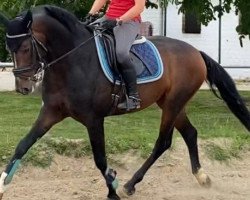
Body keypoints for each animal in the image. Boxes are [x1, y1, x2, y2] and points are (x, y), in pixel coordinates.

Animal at [0, 4, 249, 200]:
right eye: (9, 48)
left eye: (25, 47)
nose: (23, 87)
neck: (72, 61)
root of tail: (196, 52)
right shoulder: (50, 112)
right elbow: (23, 144)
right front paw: (3, 184)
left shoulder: (93, 119)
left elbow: (100, 159)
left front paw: (113, 188)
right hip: (170, 103)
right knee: (190, 133)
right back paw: (201, 176)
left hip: (173, 103)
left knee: (163, 142)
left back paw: (130, 184)